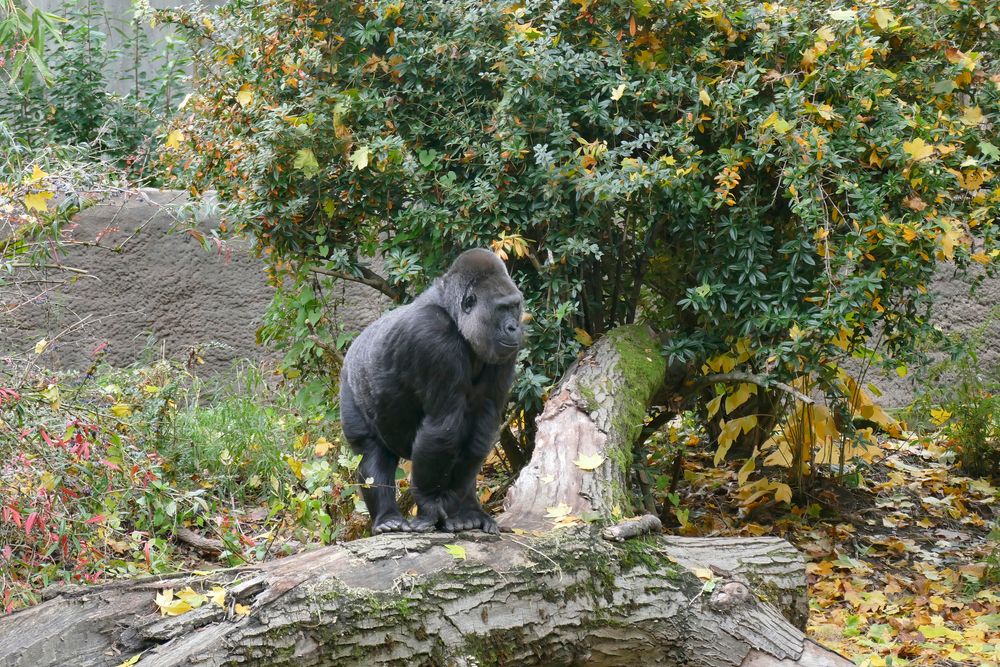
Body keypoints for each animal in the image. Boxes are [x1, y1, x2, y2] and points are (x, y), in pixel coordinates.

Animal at [339, 249, 524, 534]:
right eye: (502, 308)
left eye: (515, 306)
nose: (515, 327)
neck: (454, 316)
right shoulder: (432, 338)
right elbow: (443, 427)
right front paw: (429, 503)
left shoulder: (504, 352)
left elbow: (481, 425)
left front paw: (465, 508)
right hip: (351, 384)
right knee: (372, 455)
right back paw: (387, 518)